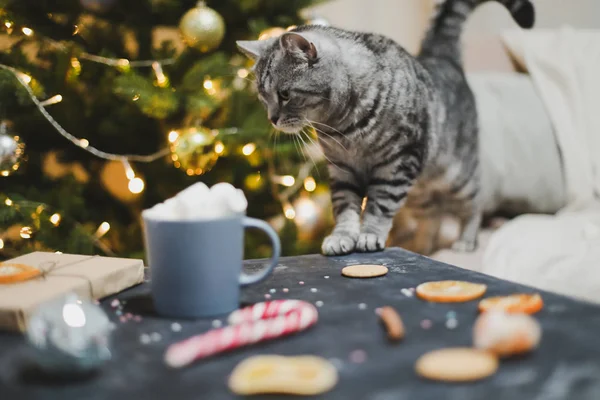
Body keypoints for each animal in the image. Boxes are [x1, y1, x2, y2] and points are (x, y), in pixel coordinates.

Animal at [237, 0, 536, 256]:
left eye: (285, 94)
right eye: (263, 97)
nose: (272, 118)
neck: (341, 126)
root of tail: (440, 56)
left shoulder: (397, 164)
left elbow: (379, 206)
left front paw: (369, 235)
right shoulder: (342, 169)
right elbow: (345, 207)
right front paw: (342, 237)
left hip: (457, 176)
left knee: (474, 203)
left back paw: (465, 240)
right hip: (420, 193)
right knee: (433, 216)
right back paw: (422, 247)